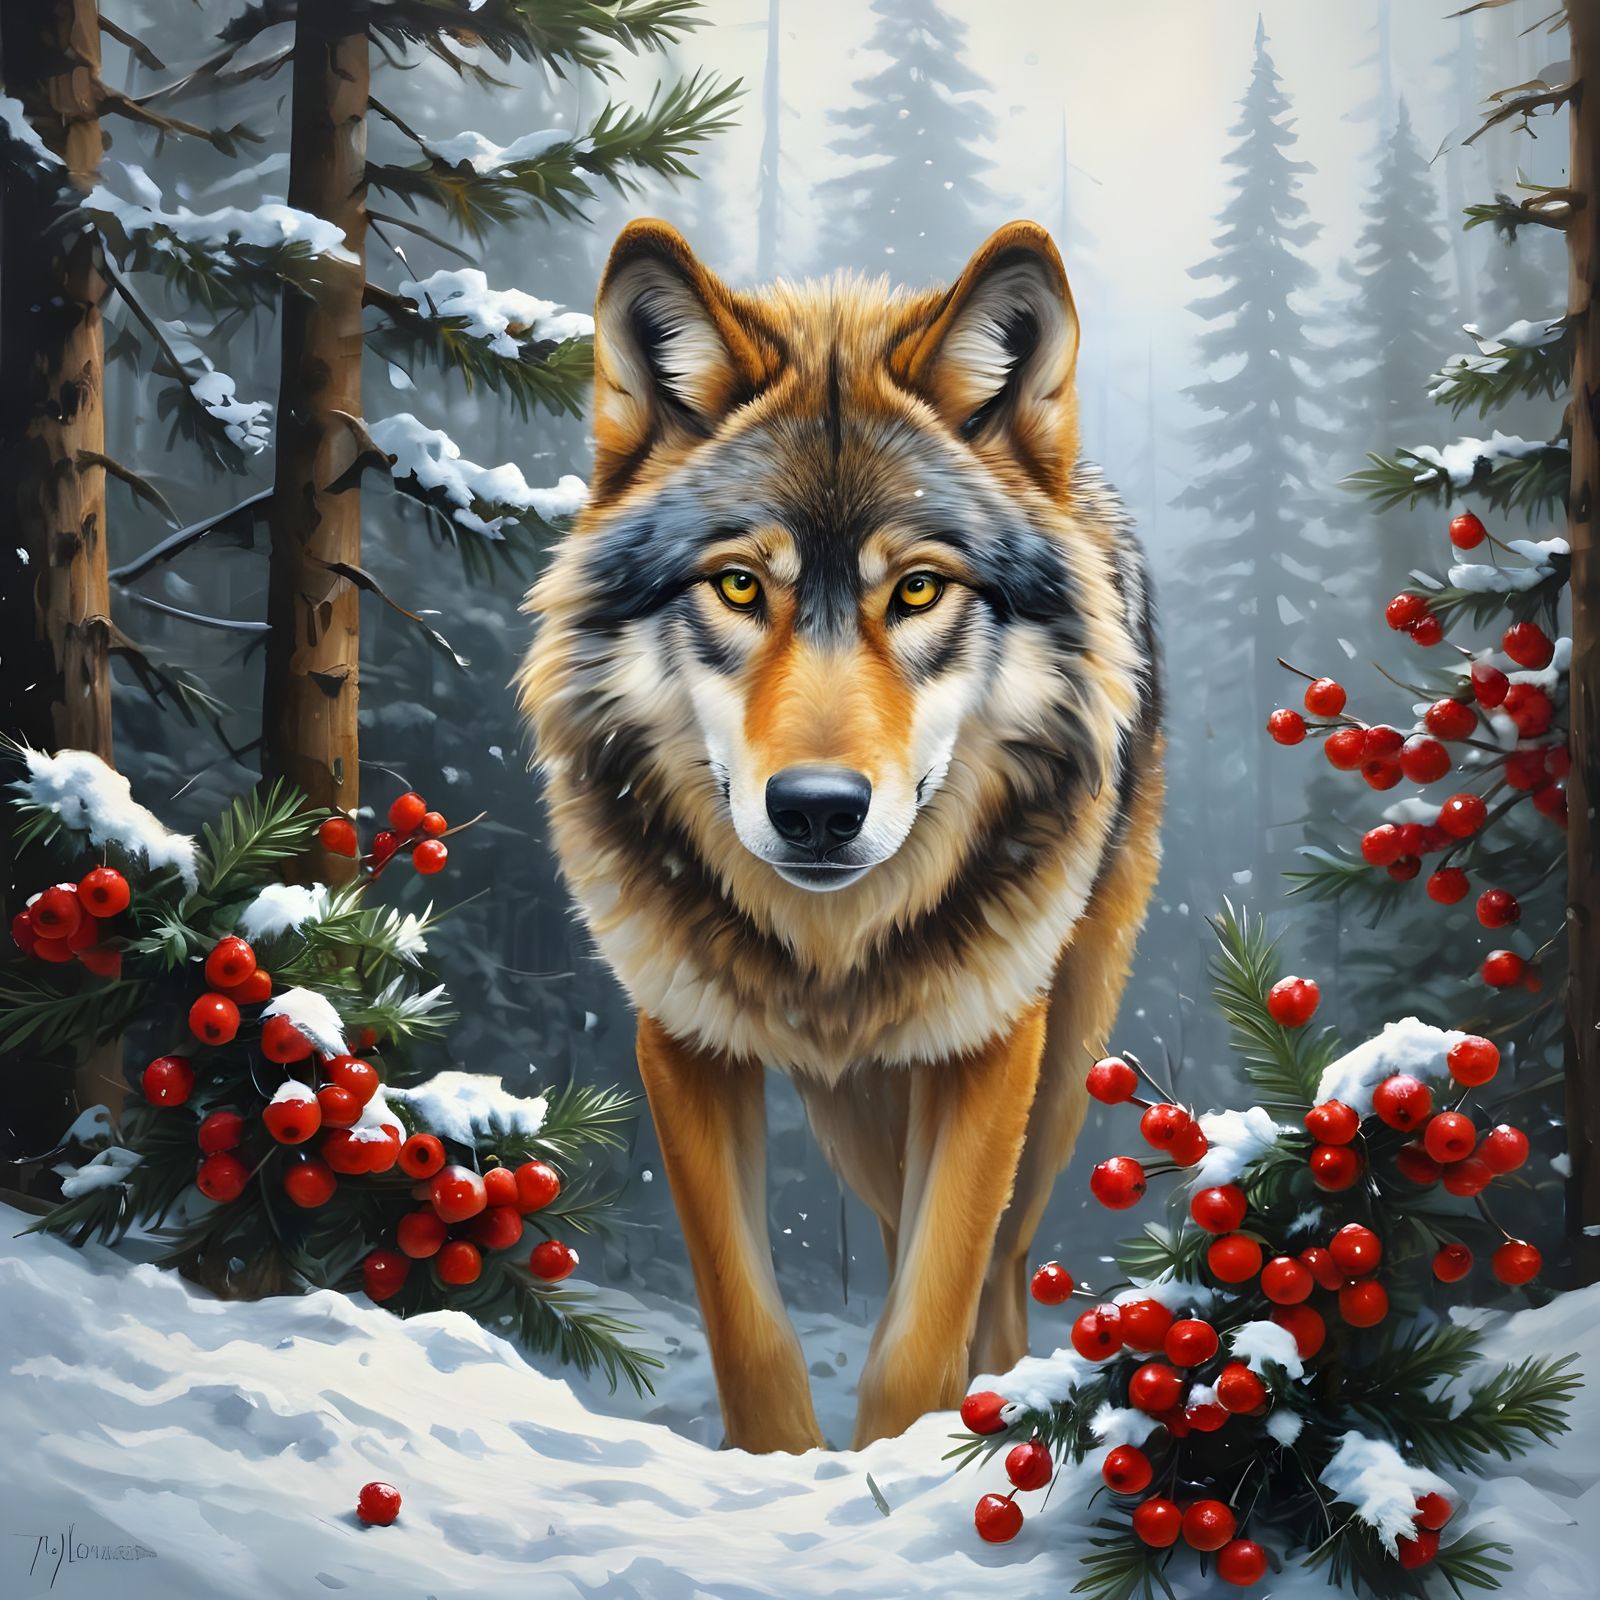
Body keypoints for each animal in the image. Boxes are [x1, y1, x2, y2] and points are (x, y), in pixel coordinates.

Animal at [519, 218, 1162, 1453]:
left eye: (915, 591)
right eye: (737, 586)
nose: (817, 808)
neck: (831, 952)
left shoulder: (990, 1043)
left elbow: (922, 1326)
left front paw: (903, 1460)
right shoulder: (682, 1039)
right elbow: (746, 1324)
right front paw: (781, 1467)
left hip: (1060, 1067)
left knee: (1001, 1266)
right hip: (859, 1118)